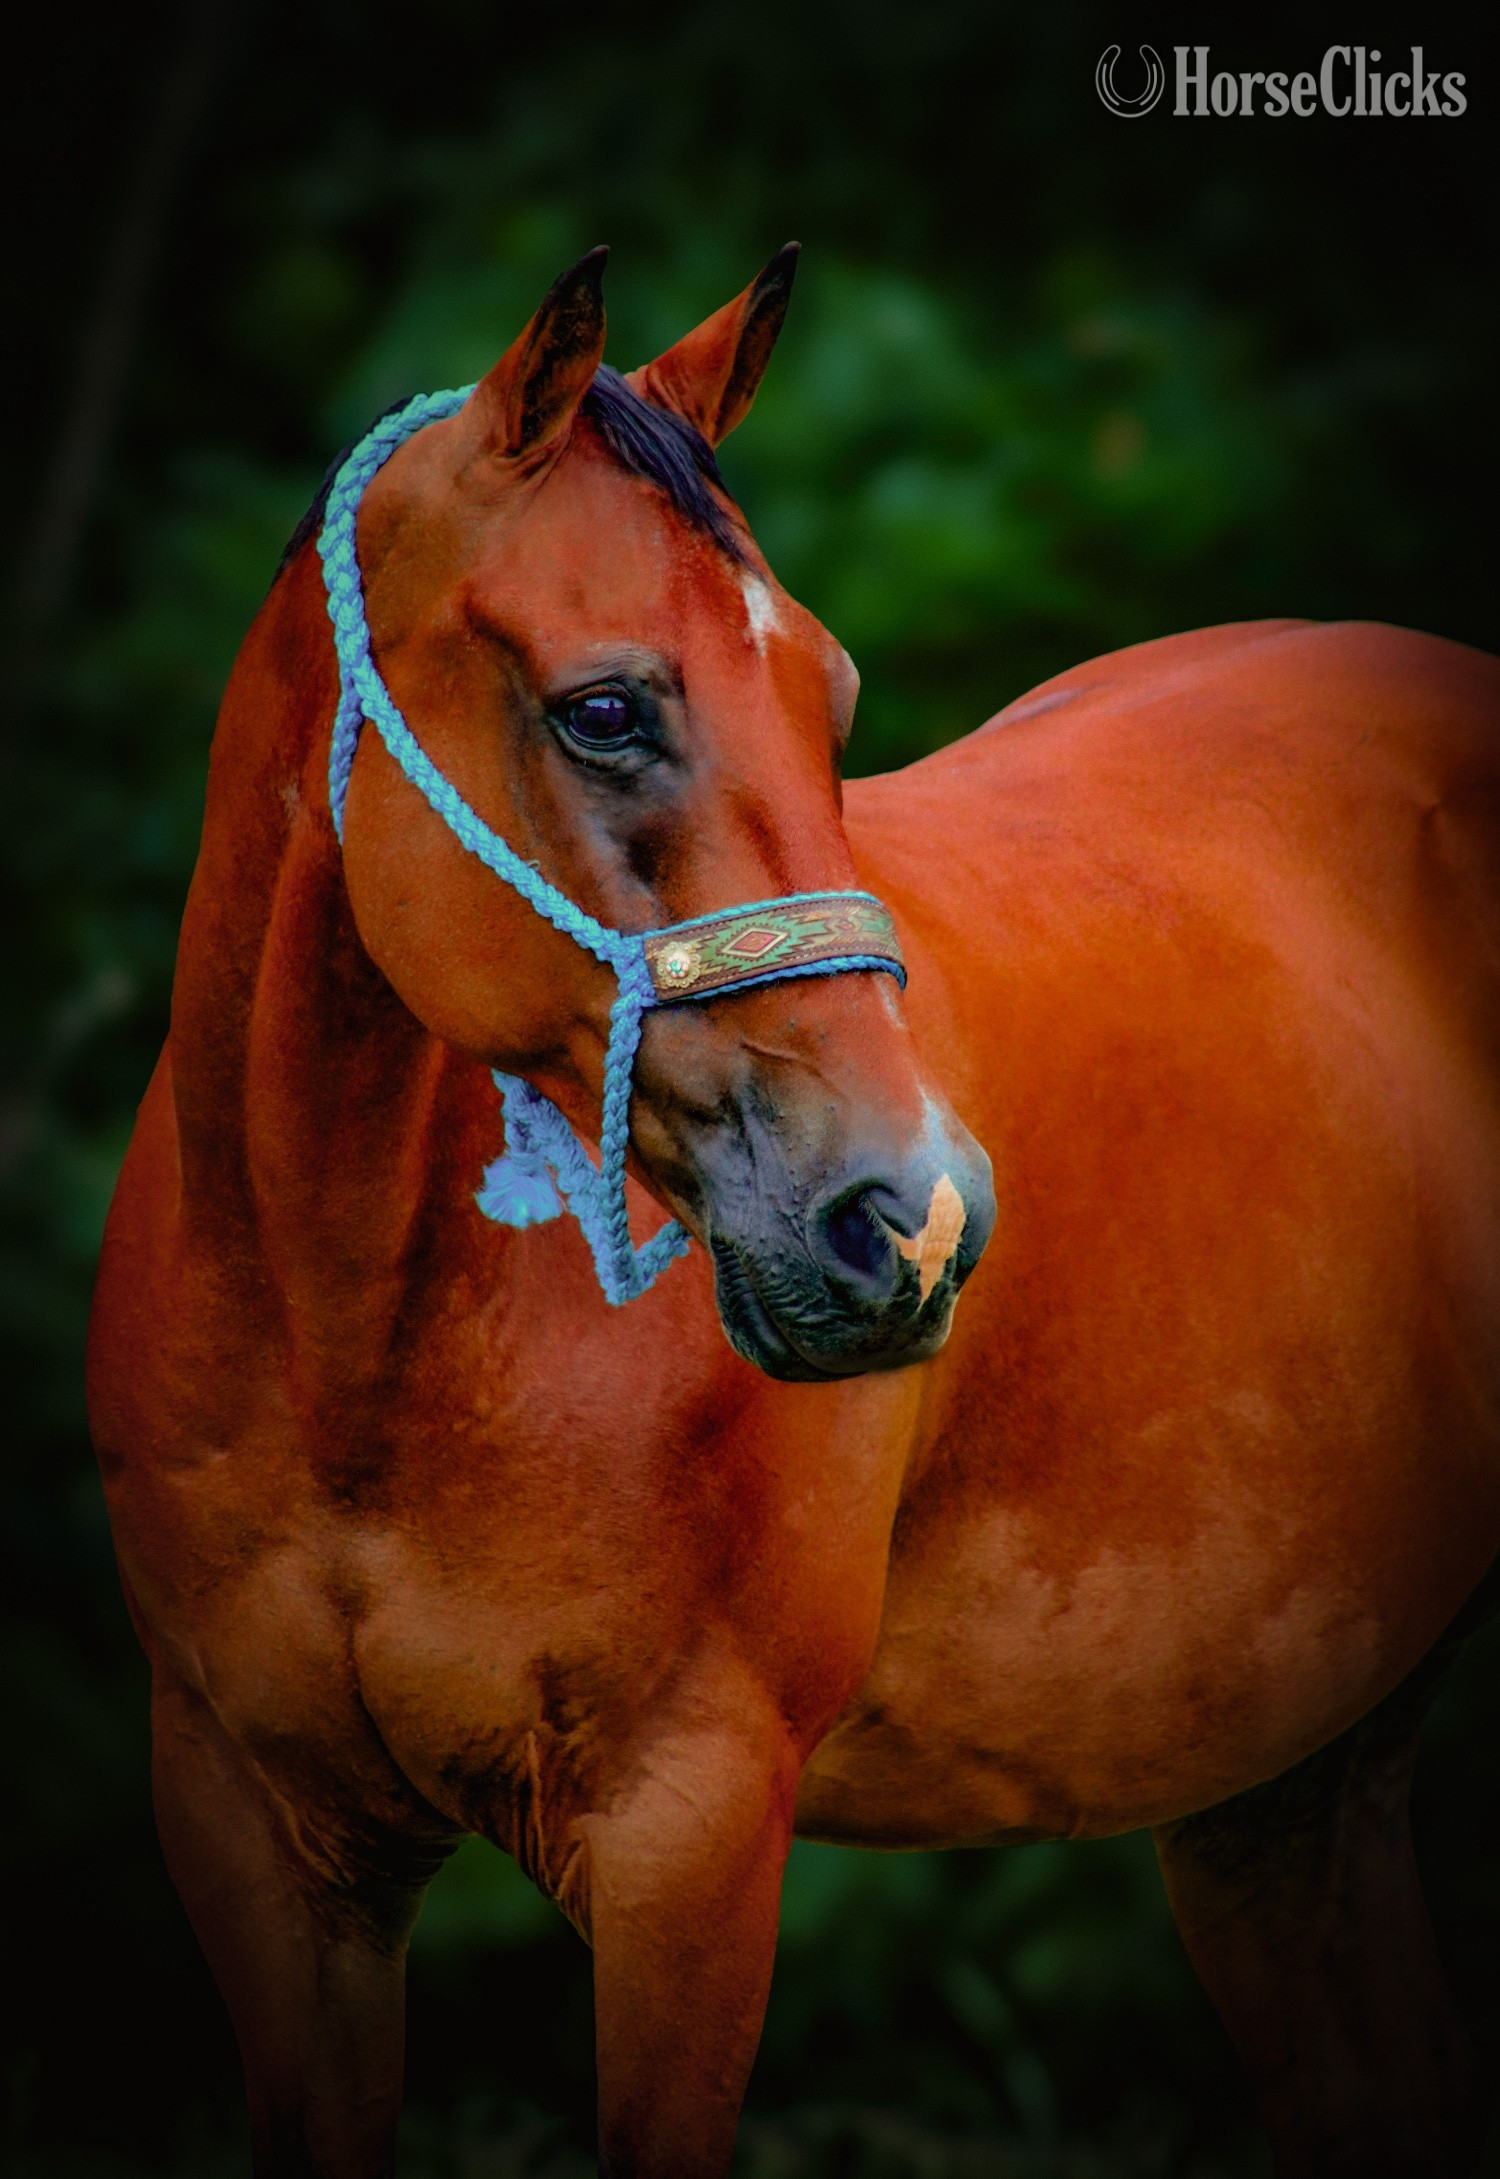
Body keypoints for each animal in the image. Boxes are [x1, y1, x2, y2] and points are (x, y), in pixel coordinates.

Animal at [86, 244, 1500, 2179]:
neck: (346, 1329)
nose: (914, 1219)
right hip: (1288, 1785)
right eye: (607, 707)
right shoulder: (259, 1836)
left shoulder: (688, 1834)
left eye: (828, 698)